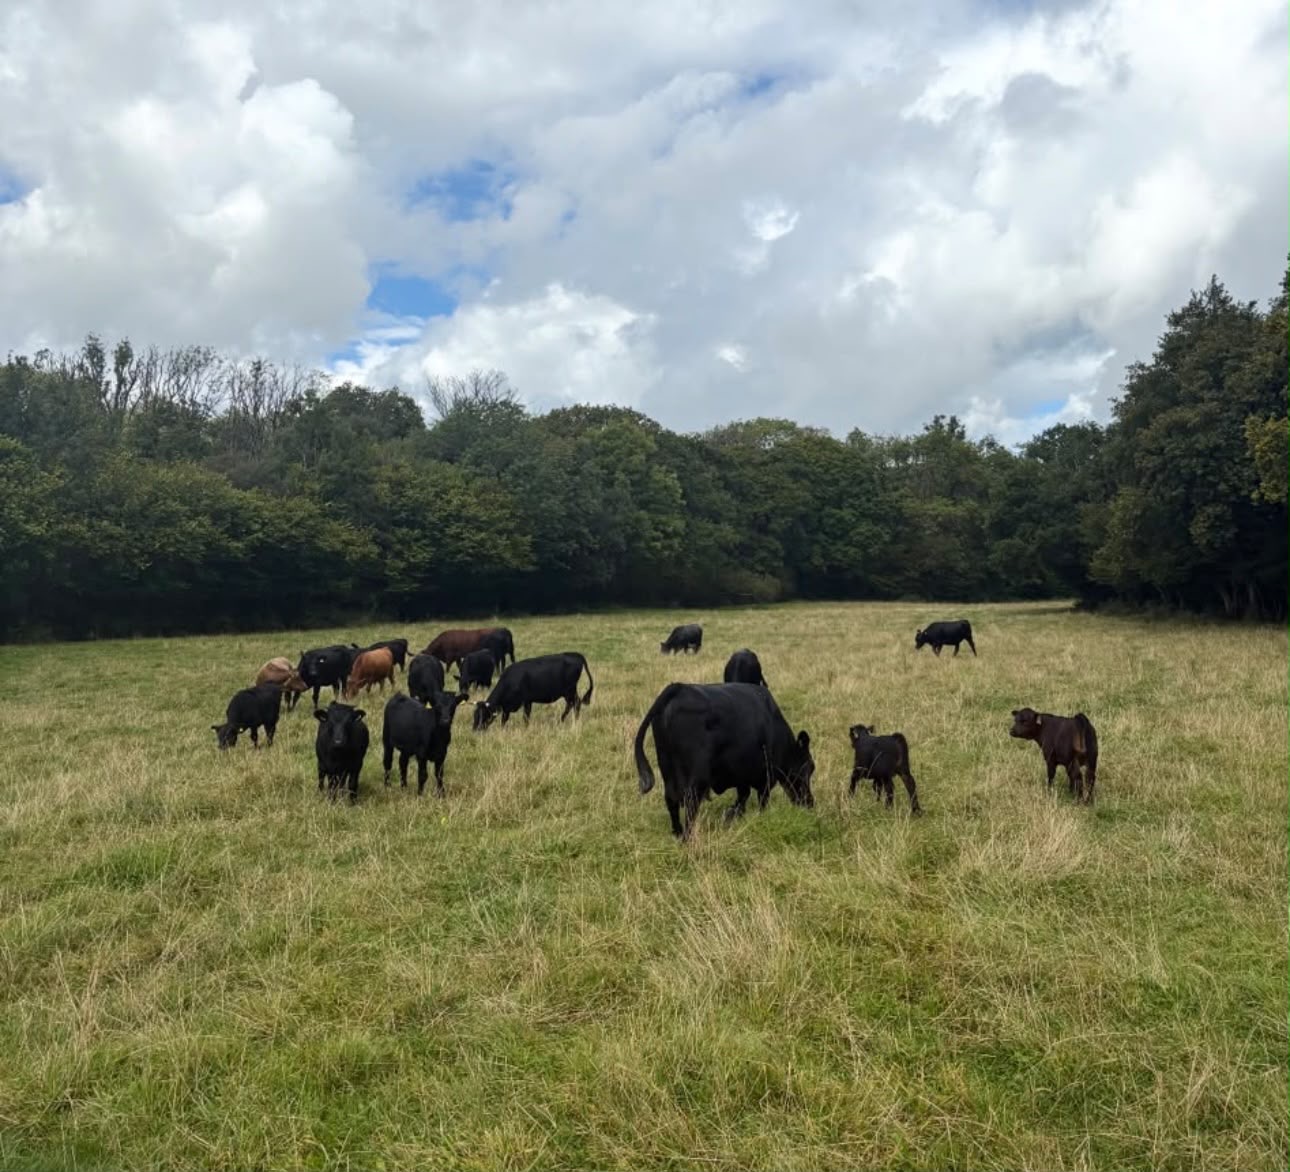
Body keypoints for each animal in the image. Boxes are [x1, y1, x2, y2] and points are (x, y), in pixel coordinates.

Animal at [633, 682, 815, 840]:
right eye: (808, 768)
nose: (809, 802)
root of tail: (679, 687)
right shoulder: (765, 777)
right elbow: (760, 800)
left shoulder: (742, 775)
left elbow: (743, 796)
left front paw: (732, 815)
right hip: (698, 777)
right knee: (691, 803)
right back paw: (688, 838)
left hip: (667, 768)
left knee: (671, 800)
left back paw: (678, 834)